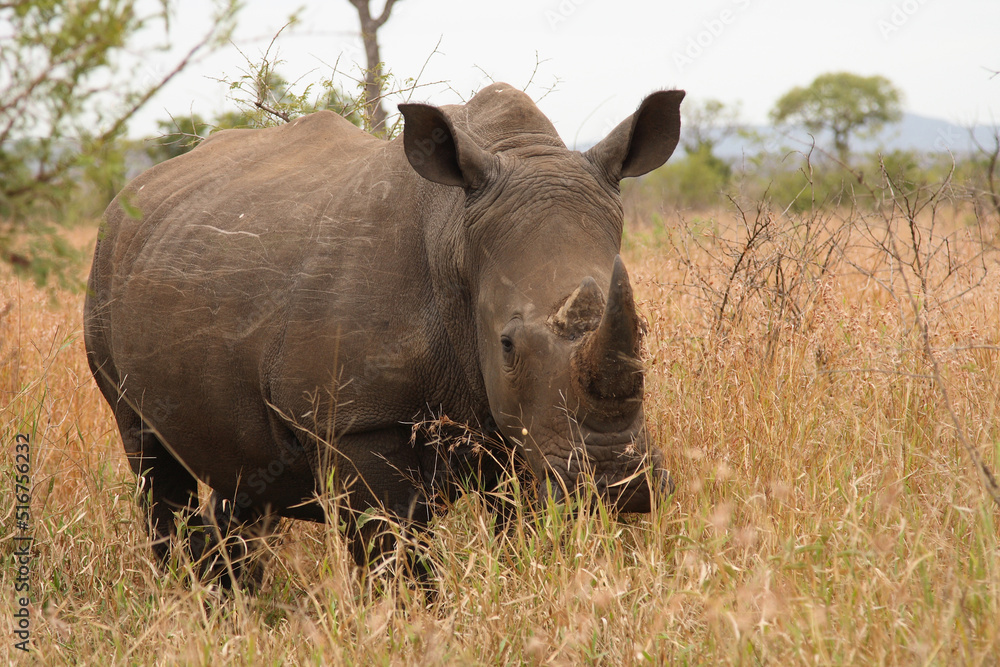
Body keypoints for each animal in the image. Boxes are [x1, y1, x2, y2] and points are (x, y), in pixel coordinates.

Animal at [84, 82, 684, 582]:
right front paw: (418, 624)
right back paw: (188, 599)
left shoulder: (525, 432)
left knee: (244, 472)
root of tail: (129, 195)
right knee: (150, 458)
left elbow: (520, 531)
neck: (454, 238)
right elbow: (396, 554)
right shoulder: (352, 419)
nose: (616, 486)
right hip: (106, 267)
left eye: (644, 331)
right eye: (508, 345)